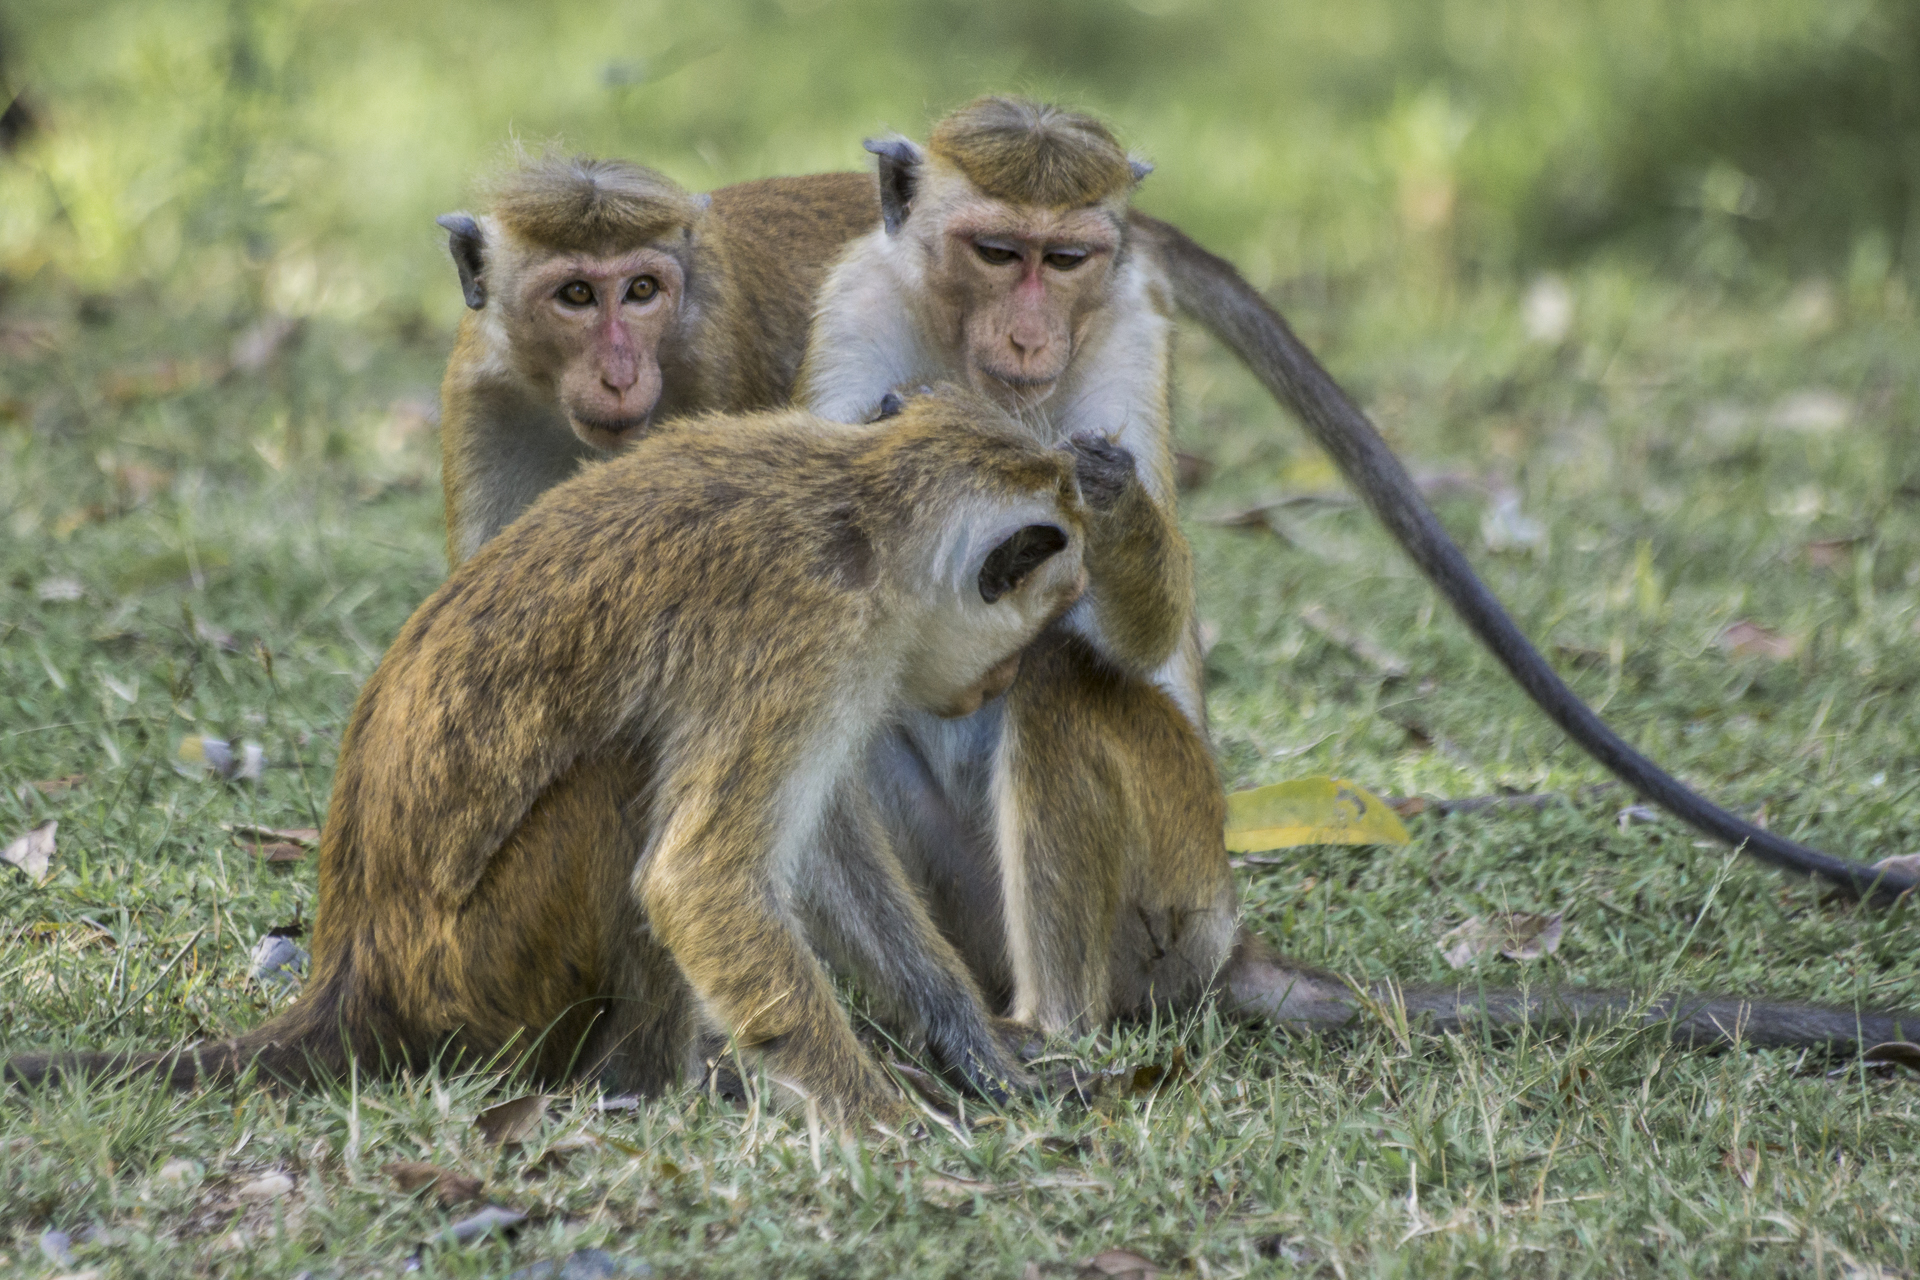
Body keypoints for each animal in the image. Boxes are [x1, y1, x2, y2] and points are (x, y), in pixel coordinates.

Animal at [7, 385, 1105, 1128]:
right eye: (1025, 634)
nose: (992, 687)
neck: (866, 506)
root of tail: (353, 978)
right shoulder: (807, 630)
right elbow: (699, 877)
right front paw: (884, 1121)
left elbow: (814, 847)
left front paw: (970, 1048)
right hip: (486, 972)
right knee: (622, 783)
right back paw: (649, 1086)